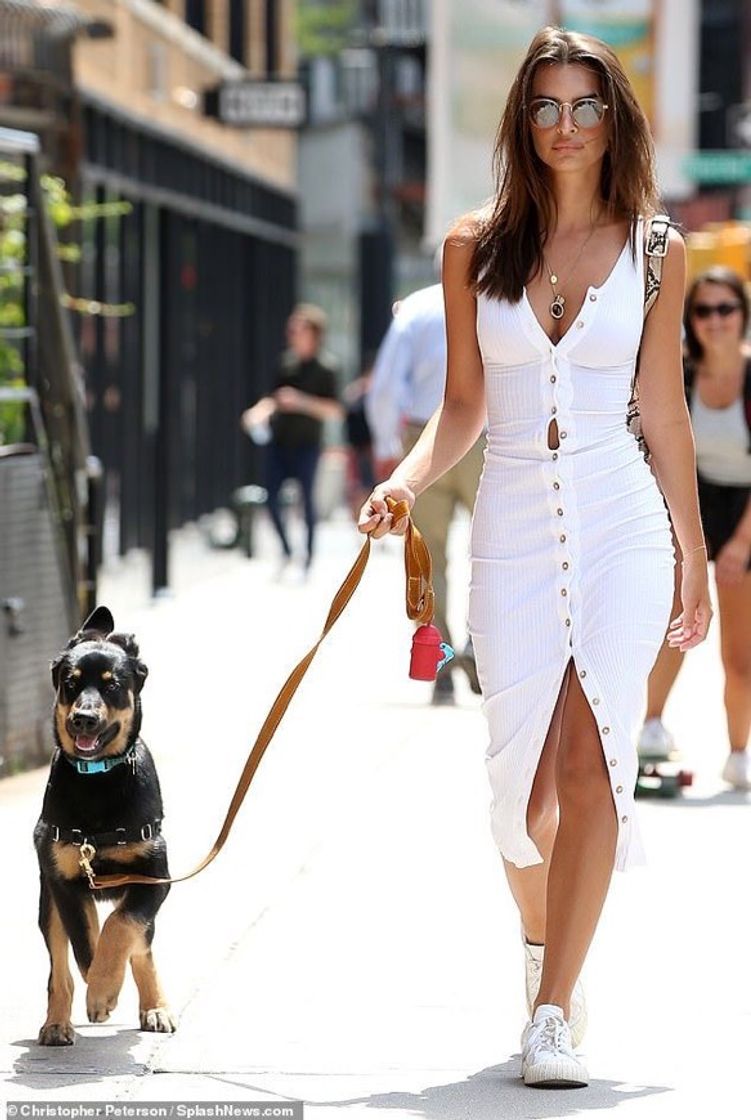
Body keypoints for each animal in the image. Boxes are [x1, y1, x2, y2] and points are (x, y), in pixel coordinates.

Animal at [34, 609, 176, 1043]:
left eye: (113, 686)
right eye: (70, 683)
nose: (83, 719)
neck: (98, 778)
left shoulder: (154, 877)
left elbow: (122, 926)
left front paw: (105, 989)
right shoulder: (65, 882)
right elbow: (86, 944)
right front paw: (100, 991)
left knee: (140, 944)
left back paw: (155, 1008)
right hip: (47, 902)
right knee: (59, 969)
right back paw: (57, 1023)